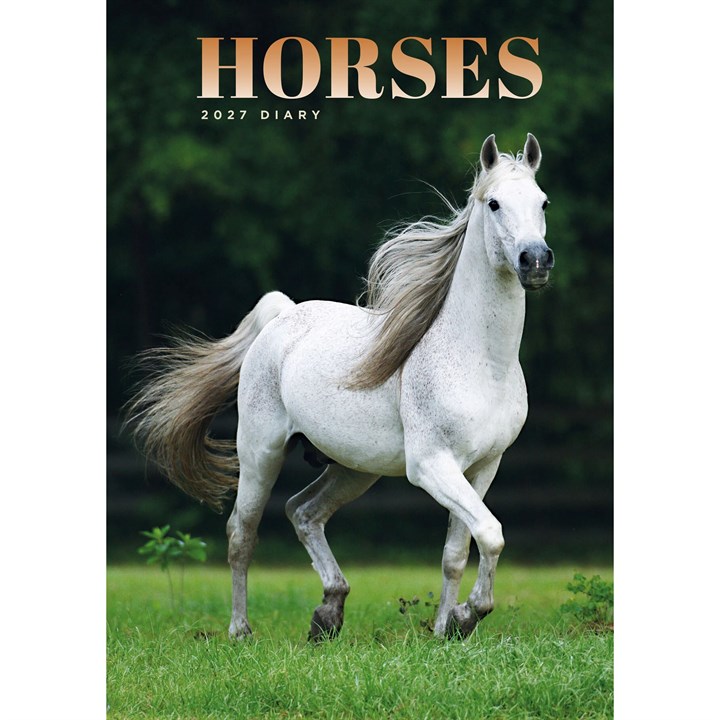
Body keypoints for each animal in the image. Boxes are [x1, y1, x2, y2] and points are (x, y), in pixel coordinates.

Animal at [124, 133, 555, 641]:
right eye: (493, 203)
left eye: (543, 201)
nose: (535, 260)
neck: (481, 361)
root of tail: (284, 314)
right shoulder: (431, 466)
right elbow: (491, 534)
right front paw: (466, 617)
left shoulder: (484, 467)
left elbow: (457, 553)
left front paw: (445, 630)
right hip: (260, 453)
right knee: (241, 534)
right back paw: (240, 631)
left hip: (354, 468)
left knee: (303, 512)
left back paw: (328, 611)